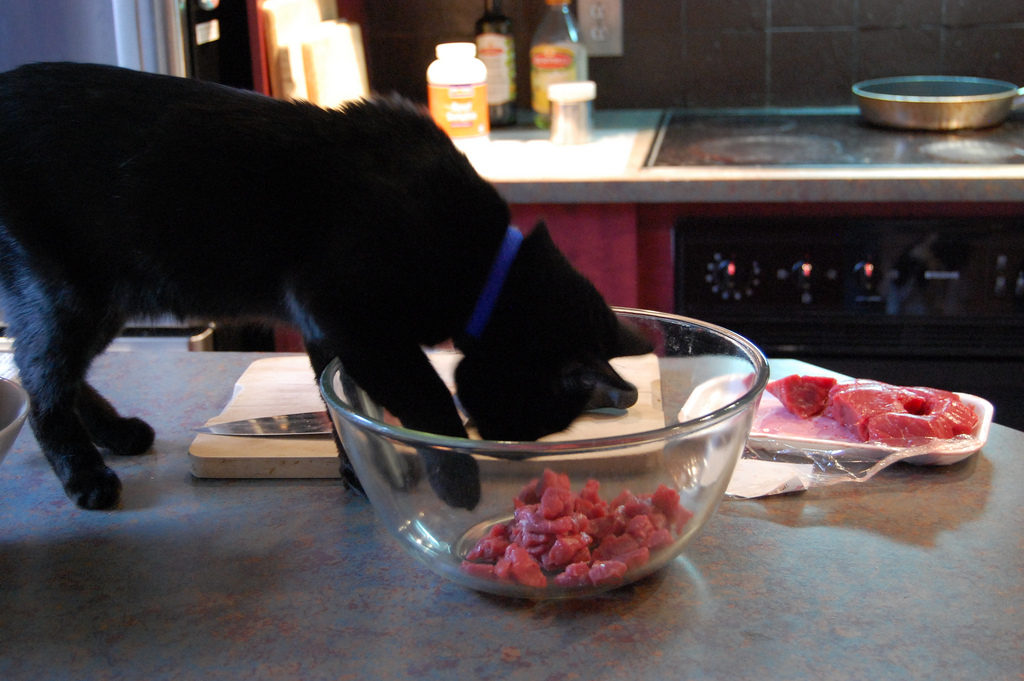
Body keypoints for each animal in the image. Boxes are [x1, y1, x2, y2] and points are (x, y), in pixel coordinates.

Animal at [0, 62, 651, 509]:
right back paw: (87, 477)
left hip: (104, 300)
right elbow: (425, 395)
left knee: (54, 377)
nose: (493, 438)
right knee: (41, 389)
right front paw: (454, 477)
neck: (483, 268)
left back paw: (118, 434)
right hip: (68, 294)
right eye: (528, 419)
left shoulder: (330, 331)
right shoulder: (344, 311)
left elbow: (342, 405)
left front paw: (363, 471)